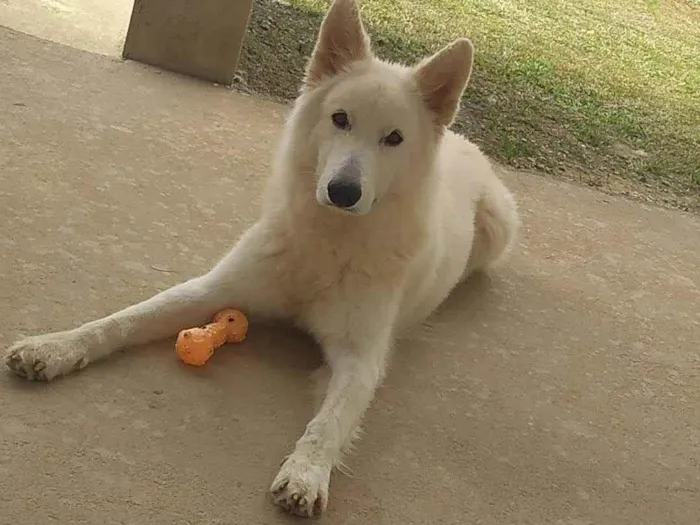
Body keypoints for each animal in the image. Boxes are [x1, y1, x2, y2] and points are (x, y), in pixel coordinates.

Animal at [4, 0, 520, 516]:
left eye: (393, 138)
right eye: (340, 119)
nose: (343, 192)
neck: (327, 242)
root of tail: (462, 141)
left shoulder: (361, 358)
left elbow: (330, 423)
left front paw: (306, 474)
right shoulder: (213, 289)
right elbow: (123, 319)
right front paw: (54, 347)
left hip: (499, 229)